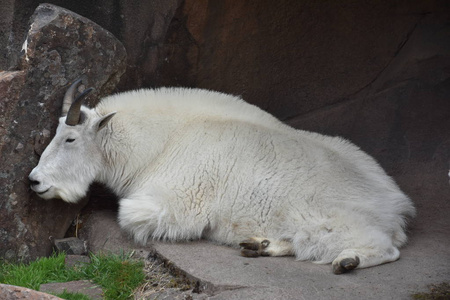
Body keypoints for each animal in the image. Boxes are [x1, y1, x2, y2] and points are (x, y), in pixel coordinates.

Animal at [28, 79, 414, 274]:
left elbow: (131, 214)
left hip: (327, 222)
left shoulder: (172, 204)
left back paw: (347, 261)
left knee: (385, 249)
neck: (159, 143)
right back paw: (260, 245)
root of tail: (396, 208)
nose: (34, 181)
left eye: (70, 138)